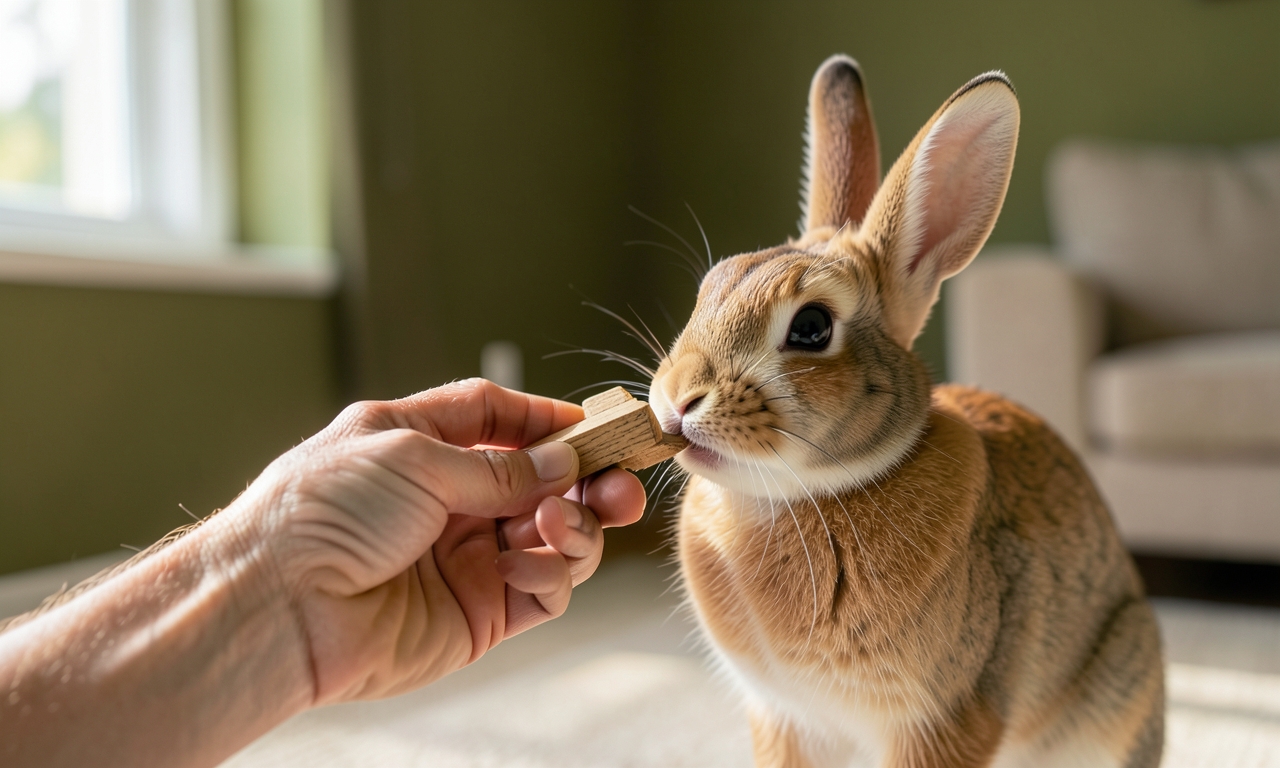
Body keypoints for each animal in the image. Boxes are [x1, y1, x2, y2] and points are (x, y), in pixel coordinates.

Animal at [647, 55, 1164, 768]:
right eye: (709, 289)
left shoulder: (945, 718)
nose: (676, 400)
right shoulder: (786, 716)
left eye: (811, 327)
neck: (804, 495)